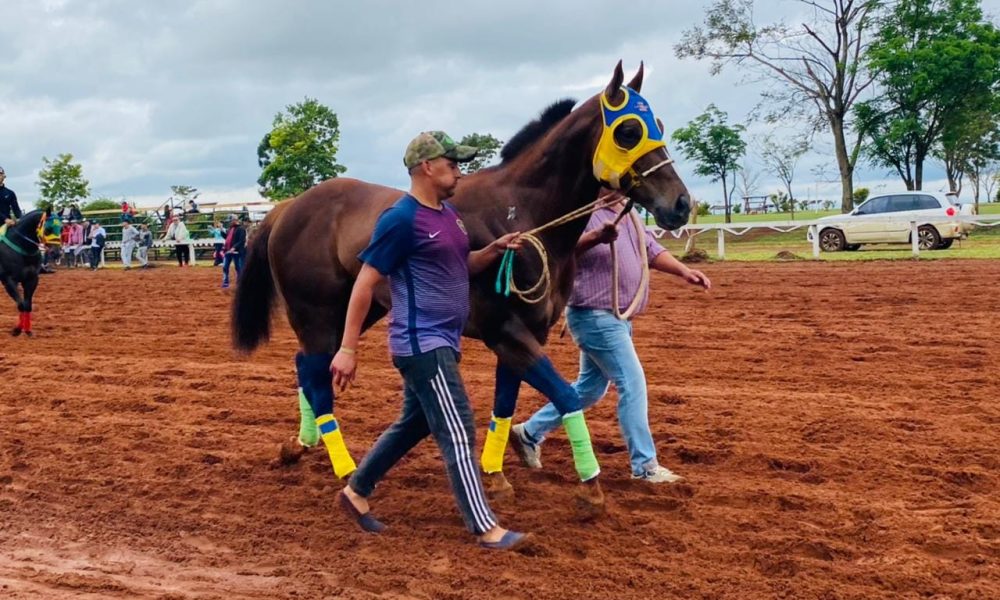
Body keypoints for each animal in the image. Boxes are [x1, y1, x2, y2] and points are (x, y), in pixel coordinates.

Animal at [231, 61, 692, 502]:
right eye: (629, 131)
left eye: (658, 125)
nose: (682, 204)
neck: (521, 212)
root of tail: (289, 207)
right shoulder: (505, 331)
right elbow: (566, 395)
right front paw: (590, 484)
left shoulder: (528, 334)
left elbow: (506, 404)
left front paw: (495, 475)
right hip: (318, 315)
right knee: (315, 373)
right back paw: (343, 466)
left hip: (357, 311)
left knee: (308, 367)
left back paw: (301, 445)